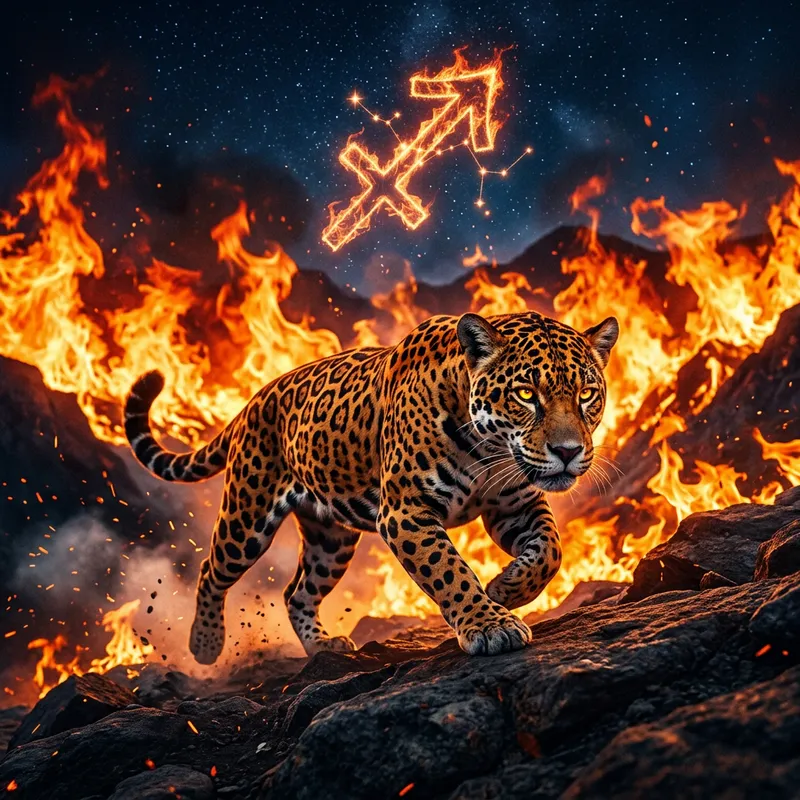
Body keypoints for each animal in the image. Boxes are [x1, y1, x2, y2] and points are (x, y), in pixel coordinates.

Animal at [124, 310, 619, 663]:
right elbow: (450, 571)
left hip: (331, 539)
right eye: (526, 395)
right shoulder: (406, 513)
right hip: (248, 515)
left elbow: (551, 552)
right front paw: (489, 625)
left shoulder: (514, 503)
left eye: (587, 395)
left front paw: (506, 588)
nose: (568, 451)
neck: (488, 448)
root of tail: (255, 400)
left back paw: (323, 647)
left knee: (296, 592)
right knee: (212, 569)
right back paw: (205, 645)